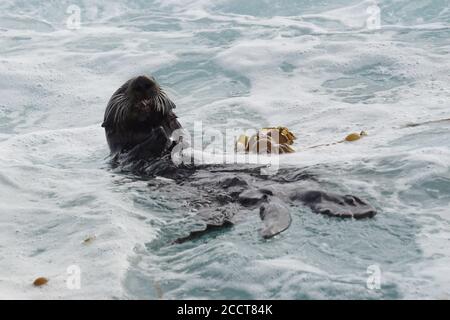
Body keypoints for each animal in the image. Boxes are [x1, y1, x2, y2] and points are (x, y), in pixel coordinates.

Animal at [102, 75, 376, 242]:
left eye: (154, 81)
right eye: (121, 89)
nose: (143, 81)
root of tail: (269, 195)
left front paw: (169, 132)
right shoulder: (124, 159)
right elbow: (137, 149)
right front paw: (160, 133)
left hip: (296, 180)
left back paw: (355, 205)